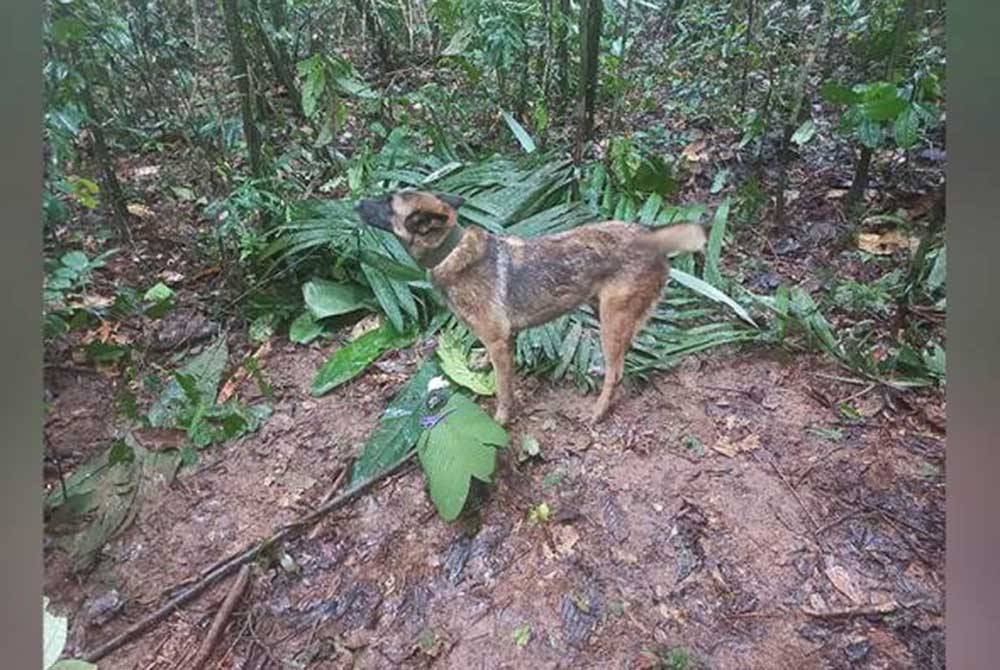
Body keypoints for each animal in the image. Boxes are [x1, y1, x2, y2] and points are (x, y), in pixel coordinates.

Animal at [356, 189, 708, 426]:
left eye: (387, 202)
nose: (356, 202)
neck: (450, 251)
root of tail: (650, 235)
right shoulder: (503, 339)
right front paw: (481, 363)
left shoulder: (499, 341)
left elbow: (503, 389)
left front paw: (501, 419)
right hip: (603, 310)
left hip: (612, 319)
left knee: (617, 371)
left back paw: (598, 410)